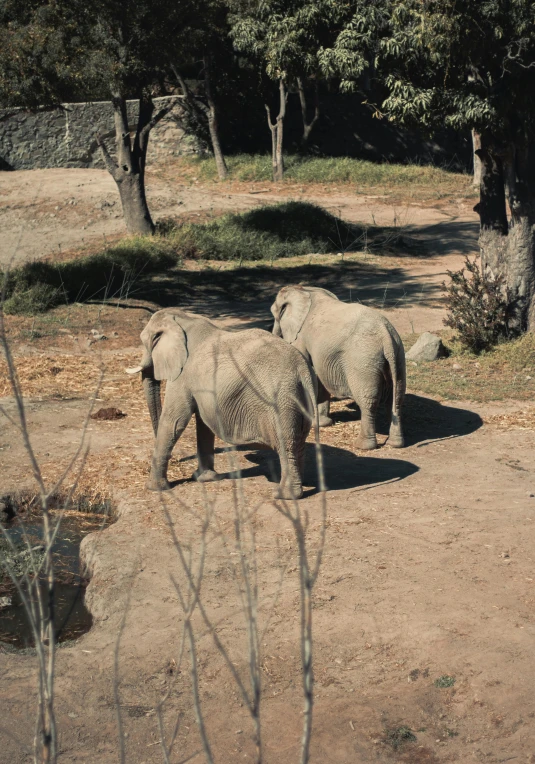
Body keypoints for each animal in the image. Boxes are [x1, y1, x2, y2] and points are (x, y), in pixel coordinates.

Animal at [125, 308, 318, 498]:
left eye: (145, 341)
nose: (176, 460)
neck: (184, 318)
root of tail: (302, 370)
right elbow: (203, 424)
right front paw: (205, 478)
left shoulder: (183, 376)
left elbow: (174, 421)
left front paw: (154, 488)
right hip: (298, 399)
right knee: (298, 441)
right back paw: (301, 485)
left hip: (281, 401)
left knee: (286, 444)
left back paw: (284, 495)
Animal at [272, 288, 406, 454]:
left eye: (274, 313)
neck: (304, 290)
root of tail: (385, 334)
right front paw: (323, 423)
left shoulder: (301, 337)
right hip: (398, 357)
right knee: (396, 397)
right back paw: (395, 443)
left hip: (363, 362)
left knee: (368, 401)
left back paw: (362, 445)